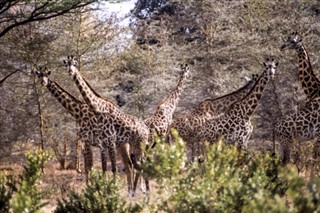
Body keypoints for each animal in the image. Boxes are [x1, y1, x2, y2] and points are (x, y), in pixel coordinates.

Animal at [63, 55, 149, 195]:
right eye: (66, 64)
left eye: (75, 63)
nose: (71, 72)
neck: (98, 107)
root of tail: (146, 128)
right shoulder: (102, 144)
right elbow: (103, 168)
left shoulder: (109, 141)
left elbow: (112, 168)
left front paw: (111, 190)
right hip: (133, 144)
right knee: (134, 164)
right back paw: (136, 190)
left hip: (140, 143)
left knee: (139, 164)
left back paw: (142, 190)